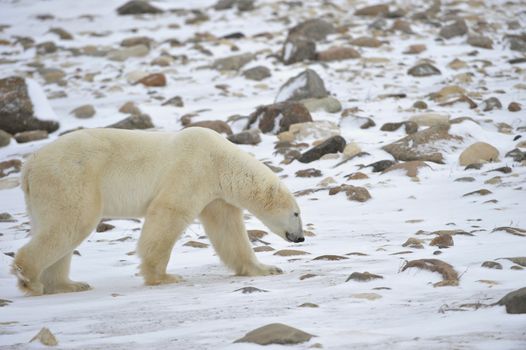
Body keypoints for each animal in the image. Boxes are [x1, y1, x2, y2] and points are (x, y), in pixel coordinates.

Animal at [12, 127, 306, 294]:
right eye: (296, 213)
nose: (301, 237)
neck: (221, 161)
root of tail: (29, 165)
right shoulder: (193, 169)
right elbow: (168, 212)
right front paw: (163, 276)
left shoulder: (216, 195)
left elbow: (228, 231)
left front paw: (266, 268)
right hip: (71, 177)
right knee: (71, 222)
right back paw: (30, 279)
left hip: (43, 194)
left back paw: (68, 284)